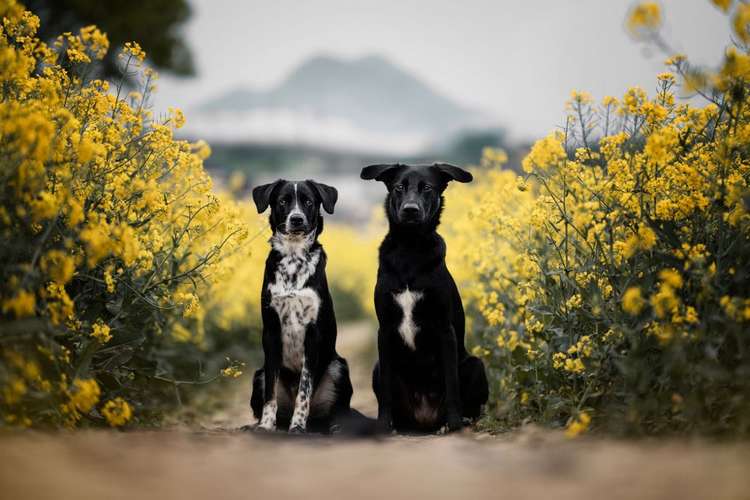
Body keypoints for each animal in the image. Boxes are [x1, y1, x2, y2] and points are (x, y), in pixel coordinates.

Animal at [251, 180, 354, 434]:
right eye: (282, 201)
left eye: (308, 201)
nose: (296, 219)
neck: (293, 258)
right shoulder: (271, 332)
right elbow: (270, 394)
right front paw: (266, 425)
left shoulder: (312, 333)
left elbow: (304, 390)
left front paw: (297, 426)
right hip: (258, 374)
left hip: (339, 367)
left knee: (335, 412)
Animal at [362, 162, 490, 432]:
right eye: (399, 187)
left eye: (428, 188)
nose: (410, 210)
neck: (410, 248)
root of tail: (424, 420)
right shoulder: (385, 330)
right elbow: (386, 393)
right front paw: (383, 424)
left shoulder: (444, 329)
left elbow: (451, 384)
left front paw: (454, 423)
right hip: (377, 369)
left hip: (475, 365)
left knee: (474, 407)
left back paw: (458, 421)